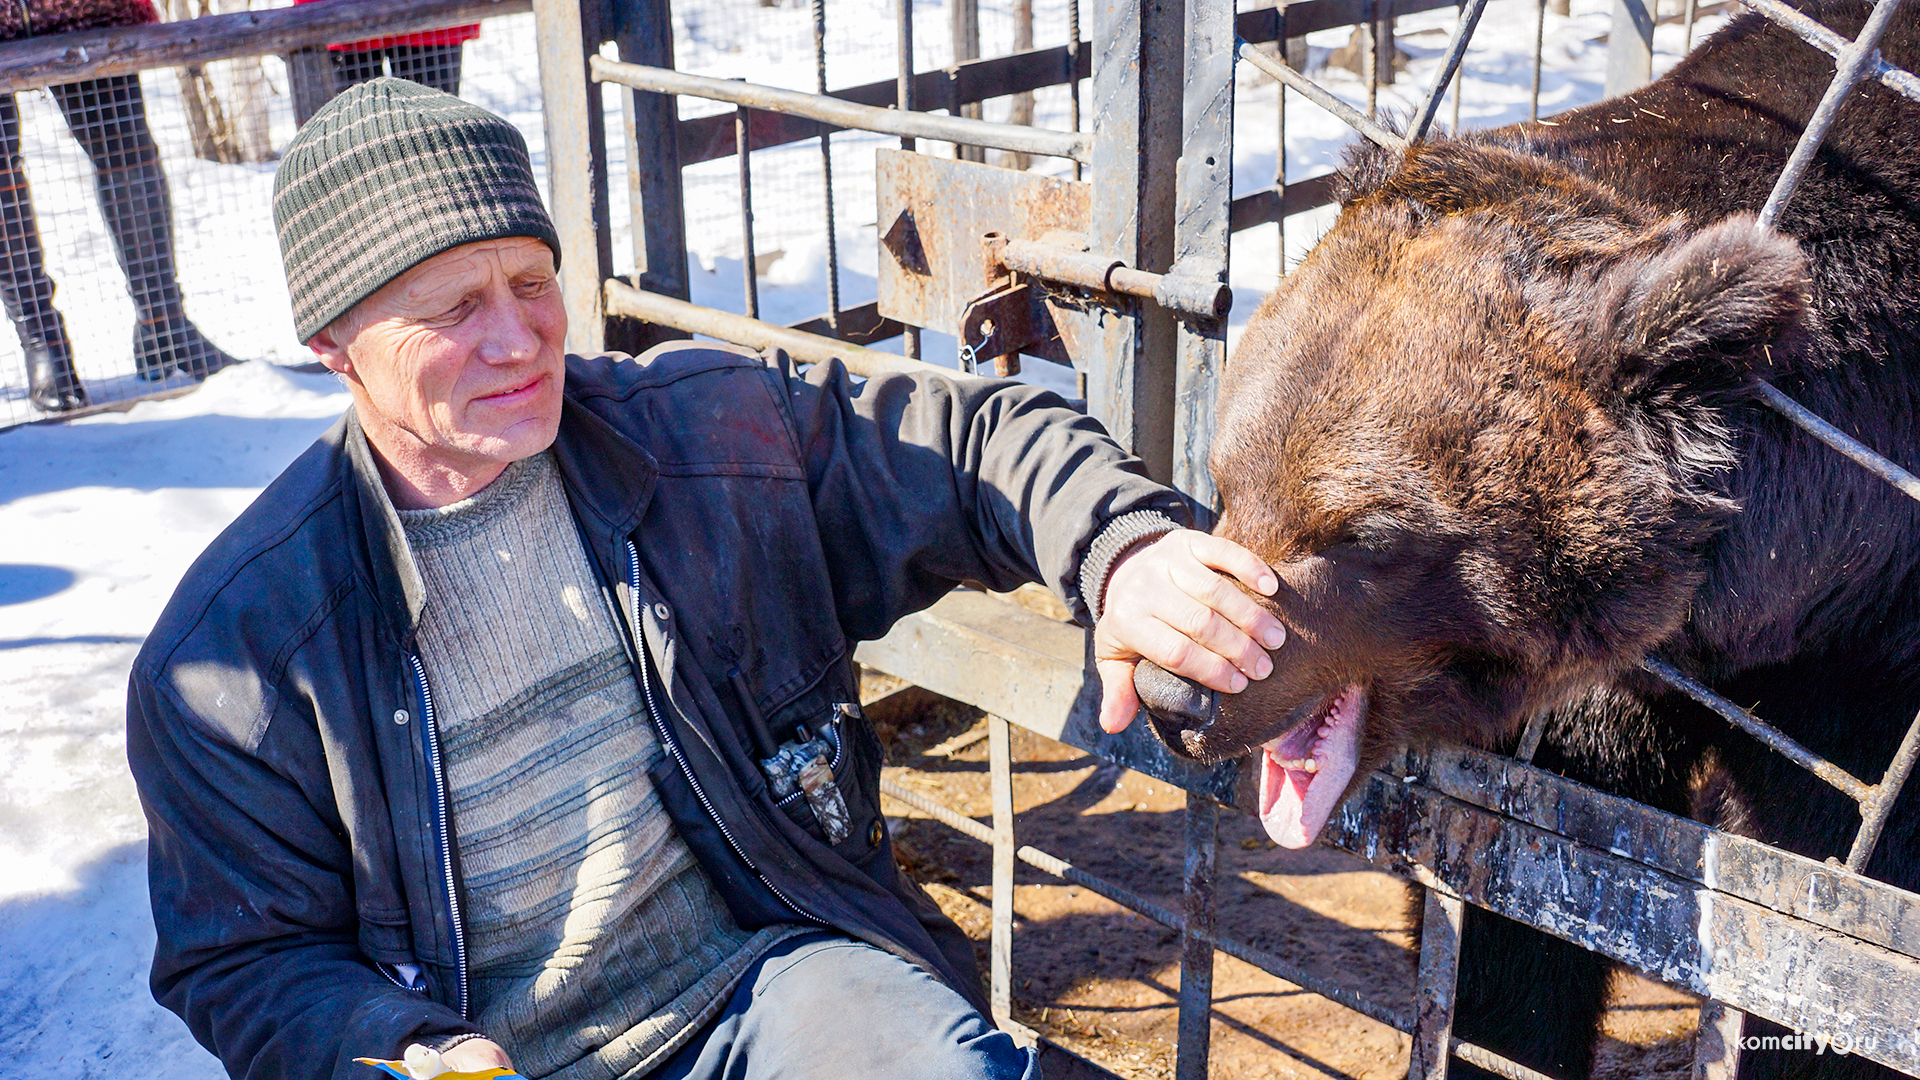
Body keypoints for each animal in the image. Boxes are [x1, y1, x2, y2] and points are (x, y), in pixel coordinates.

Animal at [1136, 4, 1920, 1068]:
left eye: (1369, 537)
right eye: (1228, 480)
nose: (1177, 696)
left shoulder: (1862, 670)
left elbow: (1831, 932)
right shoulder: (1600, 695)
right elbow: (1527, 893)